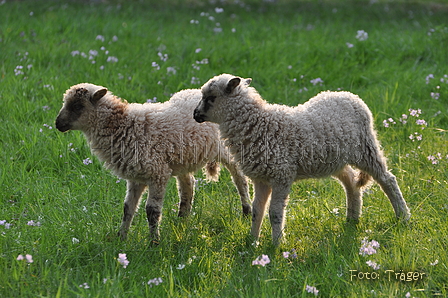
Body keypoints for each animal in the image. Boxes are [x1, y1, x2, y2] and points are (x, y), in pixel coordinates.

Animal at [55, 82, 252, 241]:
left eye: (78, 106)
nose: (58, 124)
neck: (122, 124)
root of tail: (197, 91)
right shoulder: (136, 176)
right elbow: (128, 208)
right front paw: (121, 237)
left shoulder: (157, 174)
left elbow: (151, 210)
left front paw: (153, 242)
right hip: (183, 159)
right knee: (188, 185)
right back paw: (182, 220)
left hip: (225, 150)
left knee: (239, 179)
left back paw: (246, 211)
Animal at [194, 74, 412, 244]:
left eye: (210, 97)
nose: (195, 115)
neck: (259, 124)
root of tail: (350, 96)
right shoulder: (261, 178)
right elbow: (257, 211)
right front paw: (252, 241)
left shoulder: (281, 175)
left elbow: (274, 212)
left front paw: (276, 245)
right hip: (335, 159)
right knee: (351, 182)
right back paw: (352, 218)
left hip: (365, 148)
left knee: (387, 179)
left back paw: (403, 216)